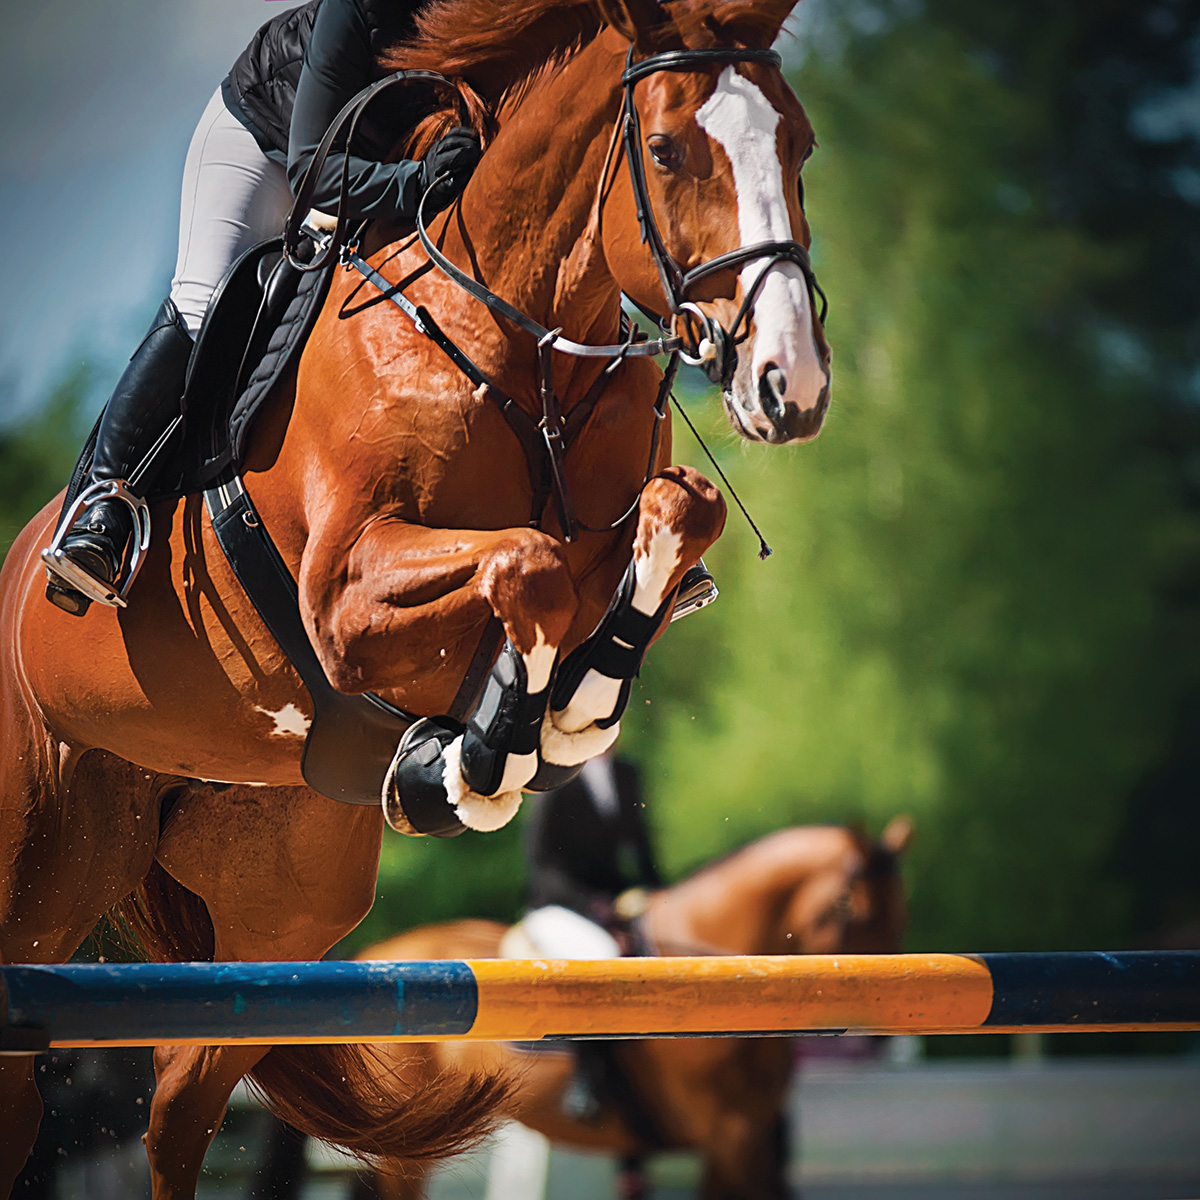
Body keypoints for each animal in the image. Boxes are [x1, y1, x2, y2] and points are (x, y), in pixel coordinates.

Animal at [0, 0, 825, 1195]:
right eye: (669, 151)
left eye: (799, 146)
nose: (790, 383)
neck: (521, 345)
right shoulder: (347, 593)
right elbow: (525, 562)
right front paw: (483, 756)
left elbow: (674, 516)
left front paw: (543, 720)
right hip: (38, 861)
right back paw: (96, 540)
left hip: (279, 913)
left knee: (177, 1103)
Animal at [355, 820, 907, 1200]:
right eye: (854, 910)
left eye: (898, 908)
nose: (882, 1032)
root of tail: (373, 956)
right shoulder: (731, 1135)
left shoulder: (740, 1136)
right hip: (404, 1146)